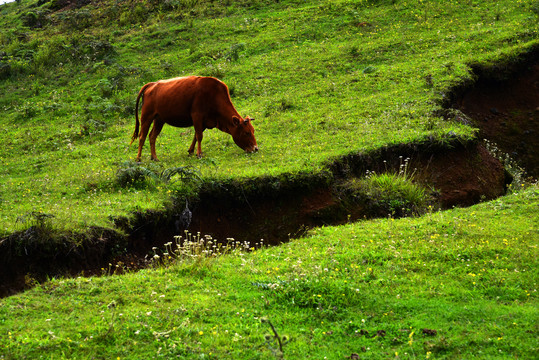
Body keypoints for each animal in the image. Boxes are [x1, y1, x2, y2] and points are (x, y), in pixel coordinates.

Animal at [130, 75, 258, 160]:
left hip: (159, 119)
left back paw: (154, 157)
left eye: (253, 131)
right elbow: (199, 136)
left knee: (152, 136)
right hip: (146, 116)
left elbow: (196, 136)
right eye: (246, 132)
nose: (256, 149)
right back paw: (138, 159)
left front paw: (191, 151)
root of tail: (152, 84)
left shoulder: (205, 121)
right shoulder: (197, 115)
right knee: (142, 136)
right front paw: (199, 154)